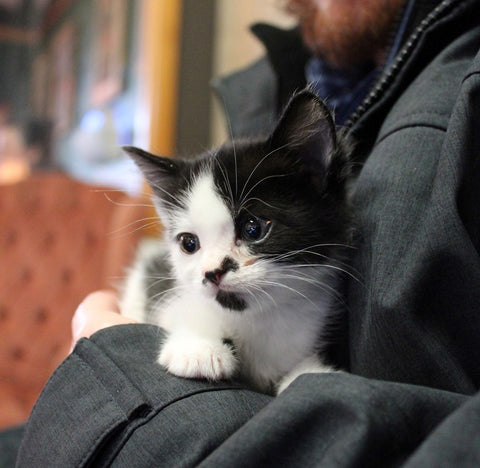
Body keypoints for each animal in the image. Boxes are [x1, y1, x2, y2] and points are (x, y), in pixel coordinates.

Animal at [120, 88, 352, 394]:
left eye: (253, 229)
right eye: (188, 243)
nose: (212, 273)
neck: (260, 317)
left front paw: (310, 375)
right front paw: (198, 347)